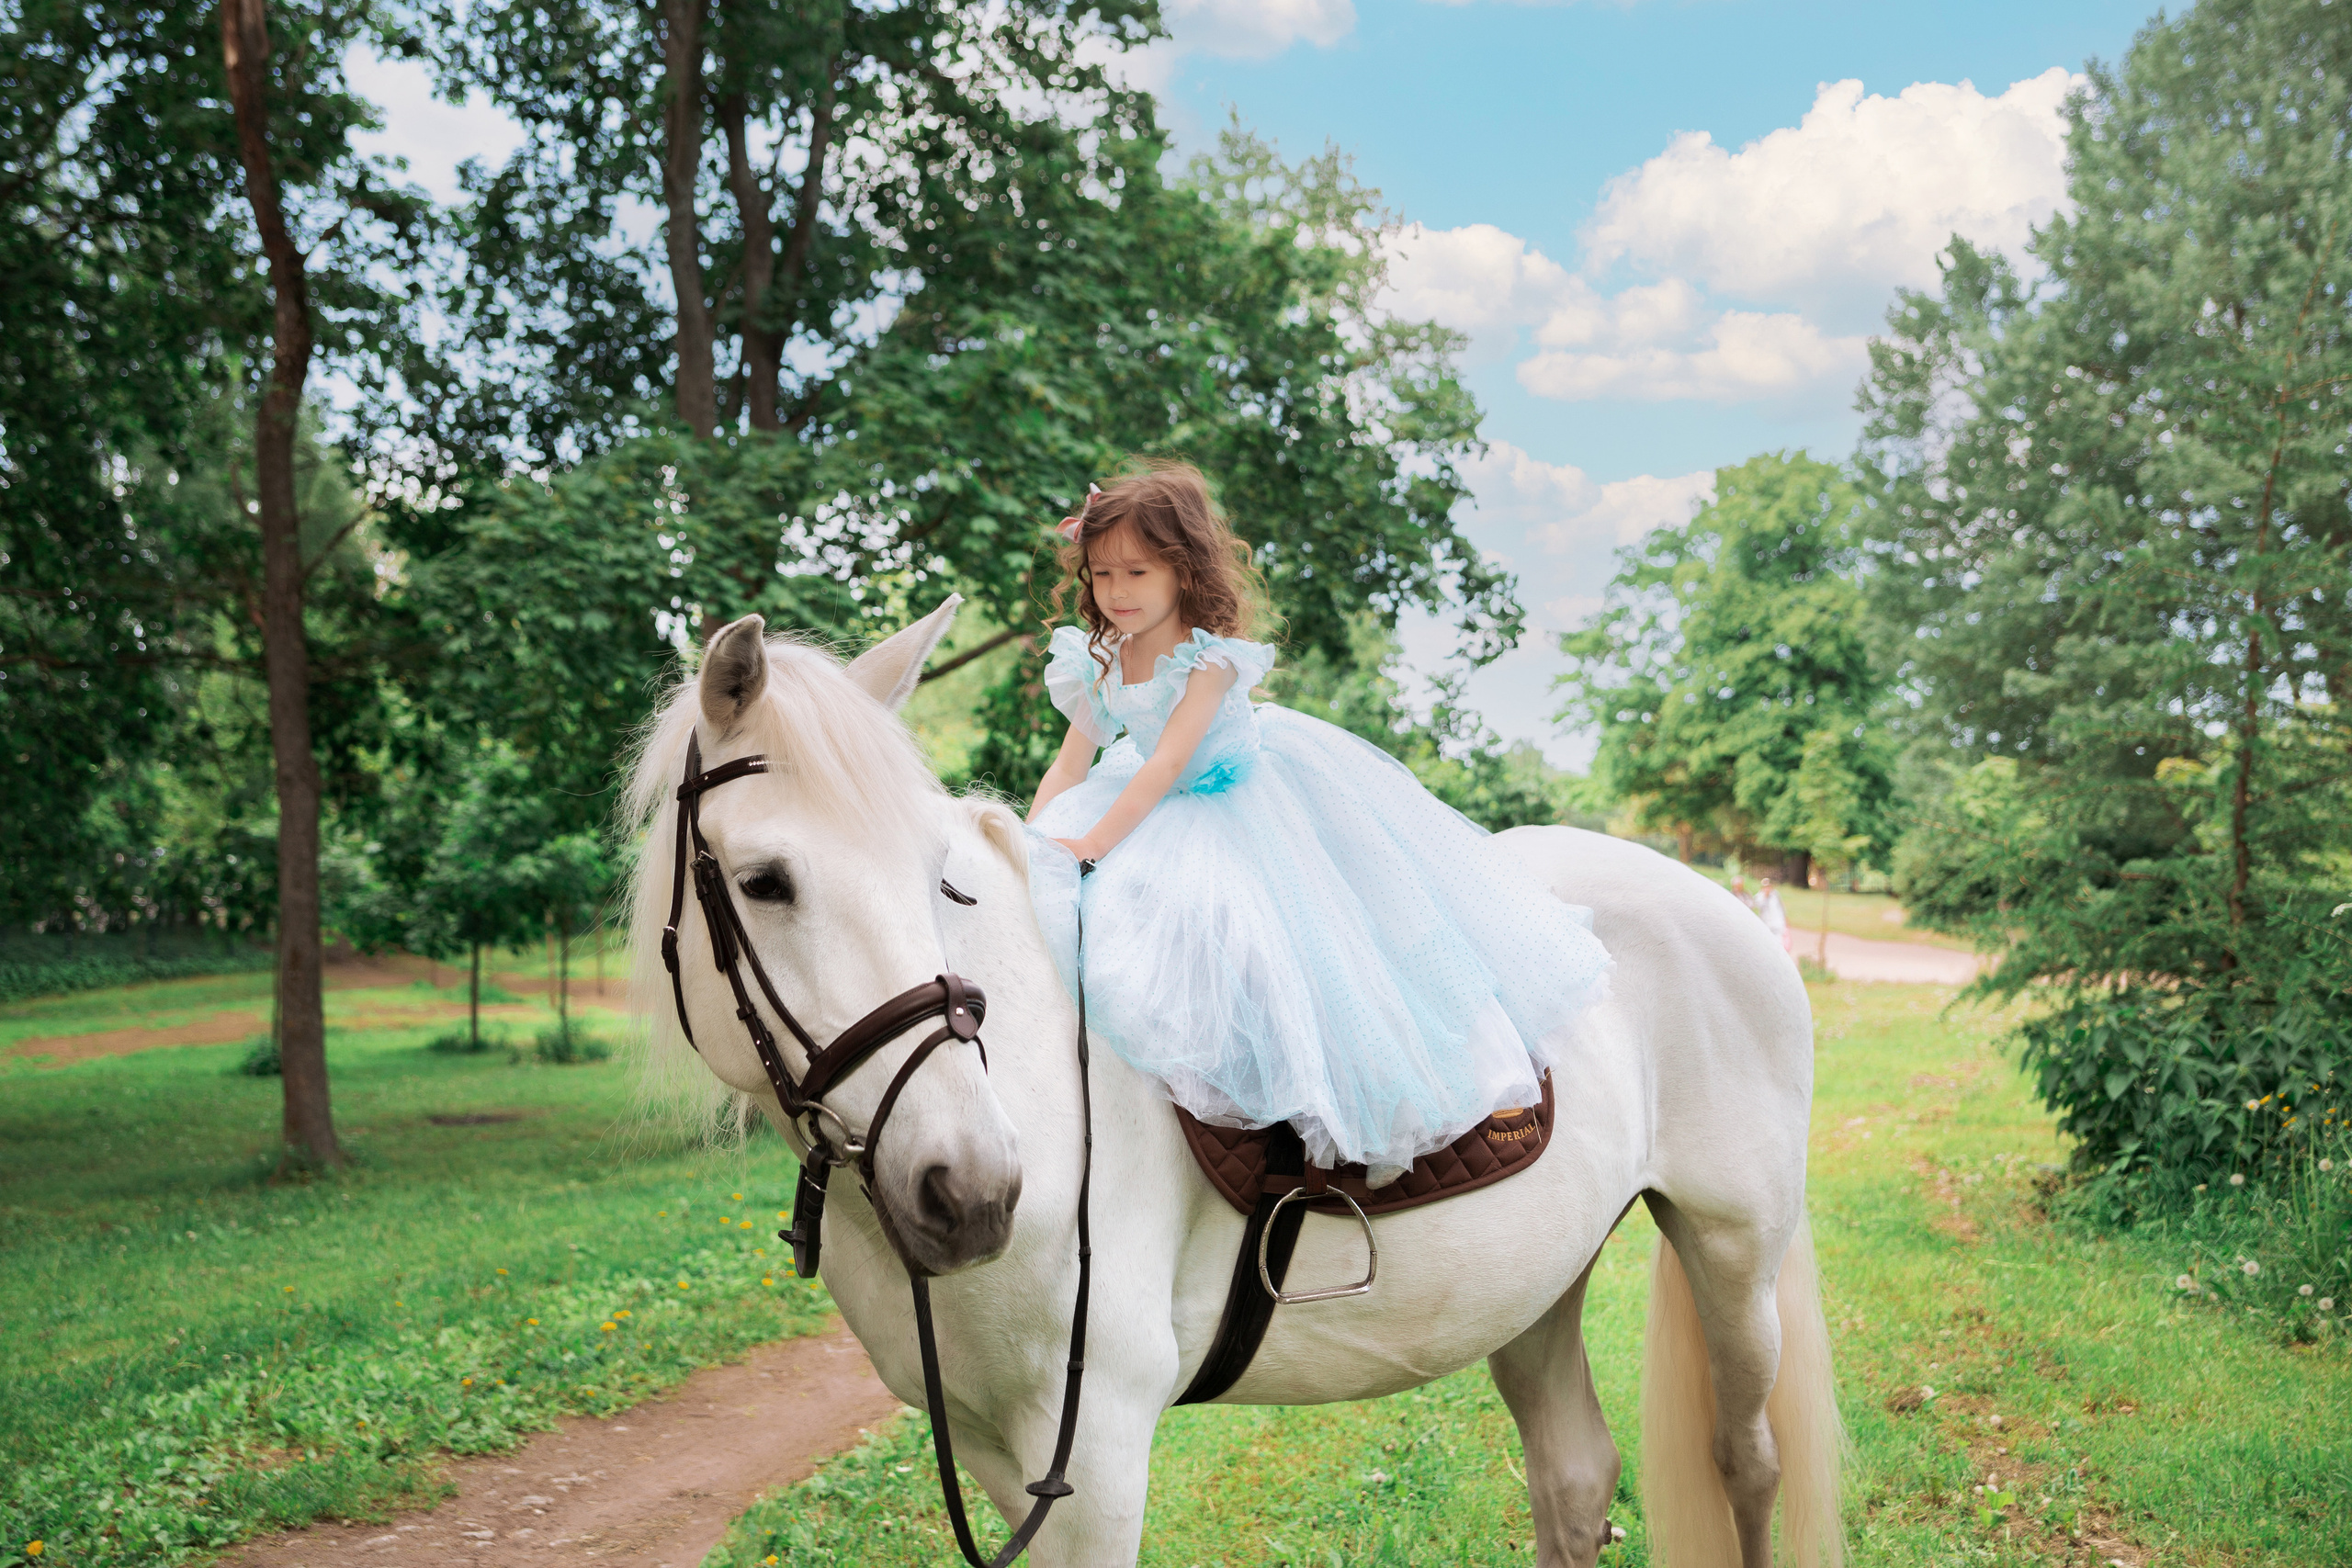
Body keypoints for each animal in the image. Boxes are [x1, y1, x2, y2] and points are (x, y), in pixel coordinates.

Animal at [622, 599, 1842, 1568]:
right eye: (763, 882)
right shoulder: (984, 1443)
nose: (971, 1188)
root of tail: (1717, 901)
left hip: (1734, 1250)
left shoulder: (1095, 1455)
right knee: (1575, 1479)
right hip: (1541, 1282)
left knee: (1746, 1463)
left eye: (940, 883)